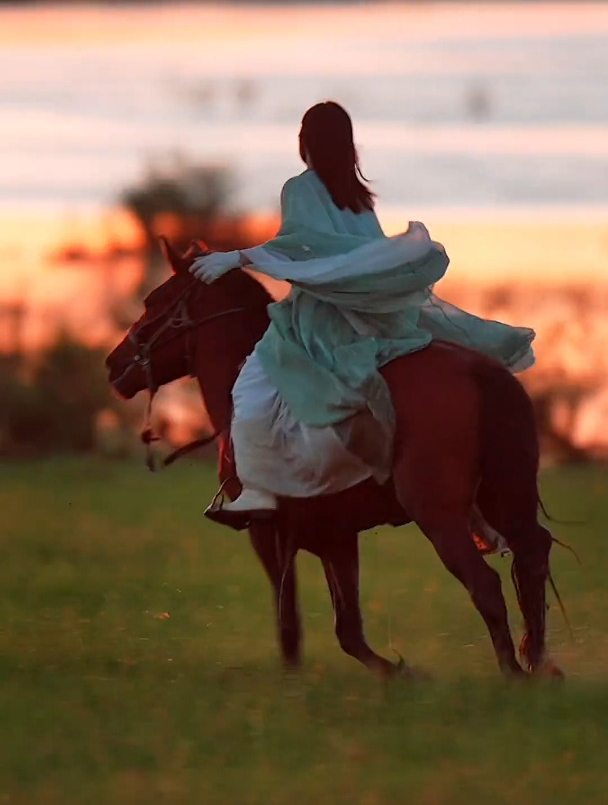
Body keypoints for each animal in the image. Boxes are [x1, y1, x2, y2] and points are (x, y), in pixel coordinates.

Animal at [105, 237, 564, 680]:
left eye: (153, 301)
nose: (112, 365)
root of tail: (481, 373)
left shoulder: (268, 534)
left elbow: (291, 623)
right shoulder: (336, 537)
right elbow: (348, 628)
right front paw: (398, 673)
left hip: (440, 516)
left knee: (485, 583)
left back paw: (513, 674)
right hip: (504, 499)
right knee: (532, 554)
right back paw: (540, 663)